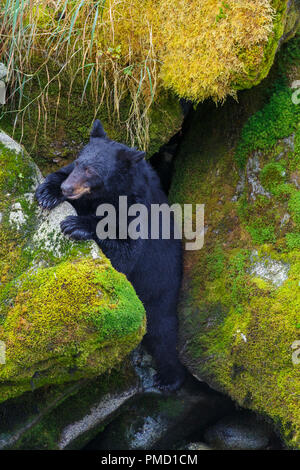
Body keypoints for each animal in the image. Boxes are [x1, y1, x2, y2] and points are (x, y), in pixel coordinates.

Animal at [35, 119, 185, 392]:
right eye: (79, 161)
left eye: (92, 171)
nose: (67, 188)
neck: (106, 195)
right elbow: (59, 173)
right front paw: (48, 192)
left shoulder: (136, 210)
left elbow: (125, 250)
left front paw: (77, 224)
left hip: (160, 293)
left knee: (163, 333)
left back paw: (169, 378)